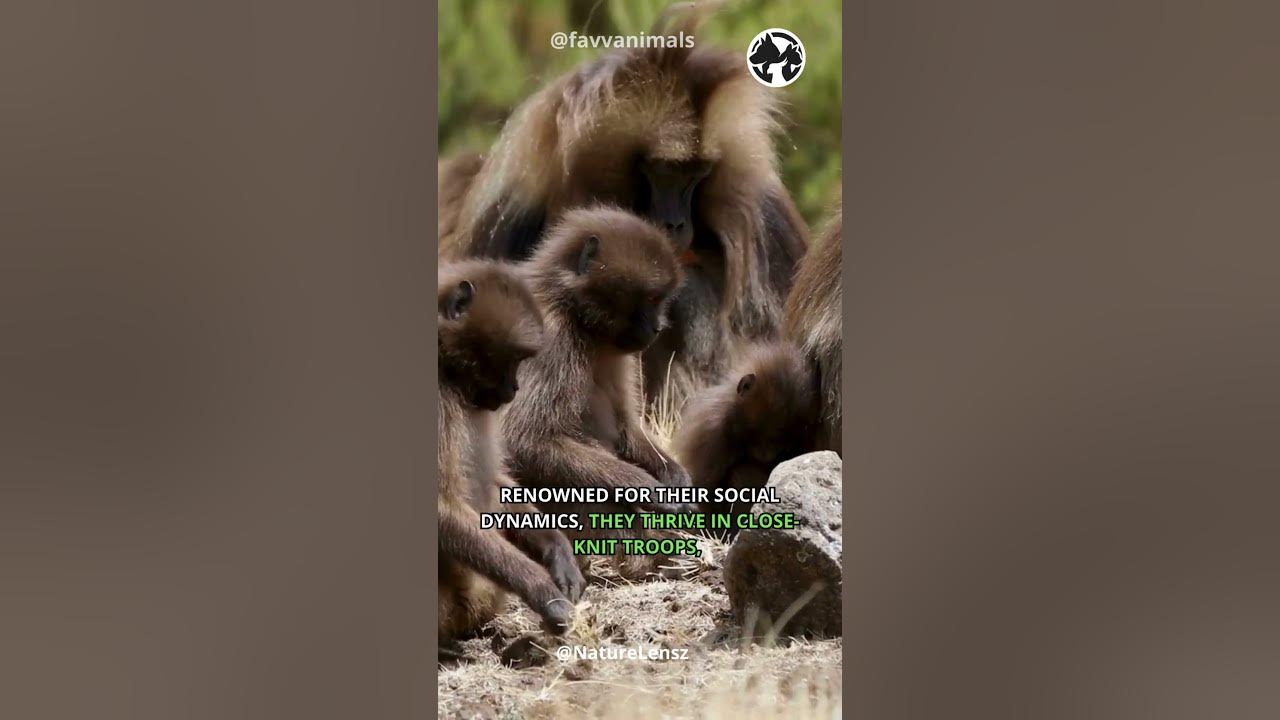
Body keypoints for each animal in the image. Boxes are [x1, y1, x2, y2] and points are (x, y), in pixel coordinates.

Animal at [437, 259, 585, 651]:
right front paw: (542, 591)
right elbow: (441, 506)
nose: (514, 388)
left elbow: (496, 481)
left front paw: (558, 551)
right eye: (514, 357)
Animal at [500, 206, 695, 578]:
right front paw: (646, 490)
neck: (576, 316)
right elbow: (524, 440)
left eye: (659, 300)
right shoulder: (548, 336)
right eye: (650, 299)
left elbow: (626, 426)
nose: (657, 327)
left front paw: (673, 474)